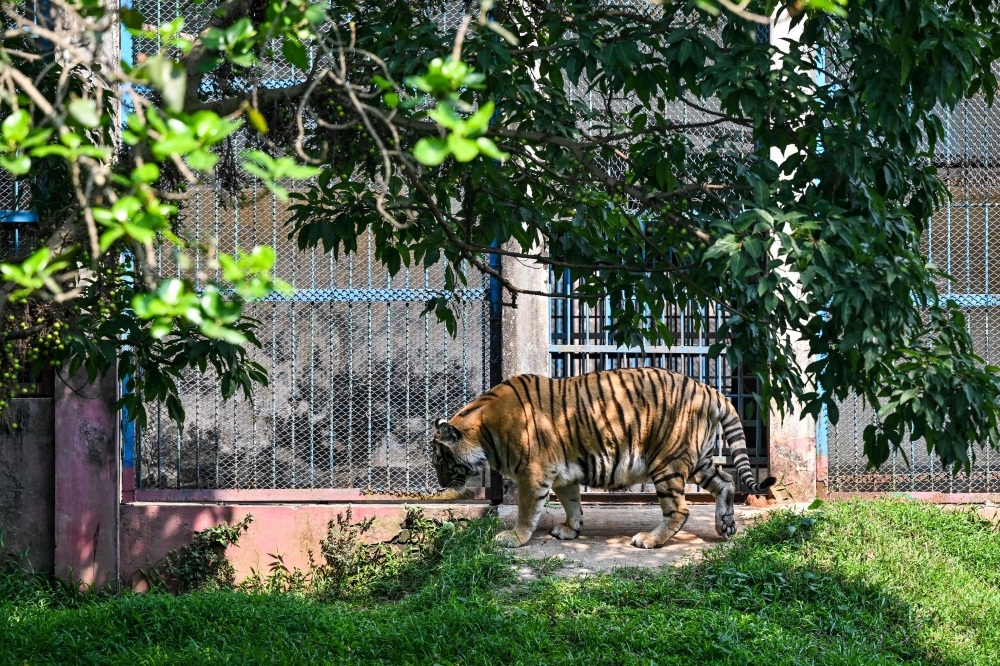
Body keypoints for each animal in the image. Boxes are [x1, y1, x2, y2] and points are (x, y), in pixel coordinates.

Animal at [431, 367, 775, 549]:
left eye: (440, 459)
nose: (441, 485)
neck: (484, 428)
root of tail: (709, 389)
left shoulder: (534, 473)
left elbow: (527, 511)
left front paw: (514, 538)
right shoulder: (563, 474)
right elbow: (572, 504)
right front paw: (570, 530)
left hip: (666, 461)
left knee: (679, 509)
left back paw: (649, 540)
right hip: (696, 459)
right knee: (726, 481)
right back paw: (725, 526)